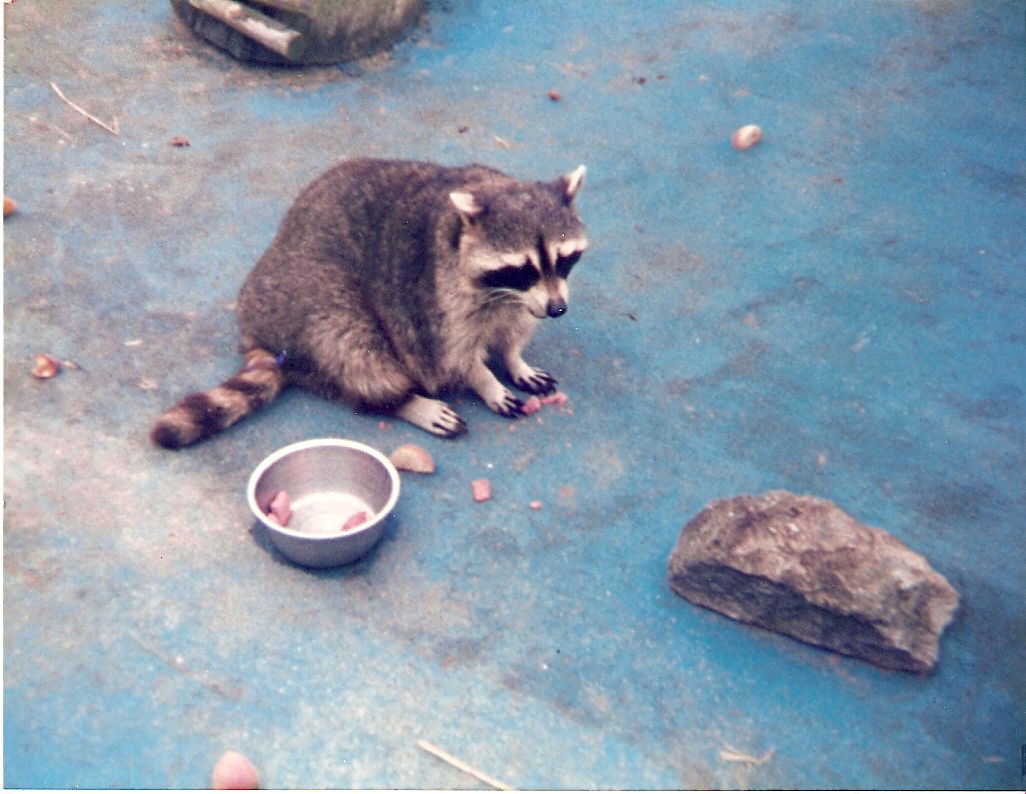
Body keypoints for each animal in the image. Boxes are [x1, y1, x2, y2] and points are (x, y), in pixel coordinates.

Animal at [150, 158, 588, 448]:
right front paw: (486, 381)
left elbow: (515, 329)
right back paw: (404, 400)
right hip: (313, 296)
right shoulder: (435, 302)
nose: (558, 310)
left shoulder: (522, 302)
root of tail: (259, 330)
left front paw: (514, 361)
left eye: (564, 259)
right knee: (353, 347)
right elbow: (455, 357)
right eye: (523, 268)